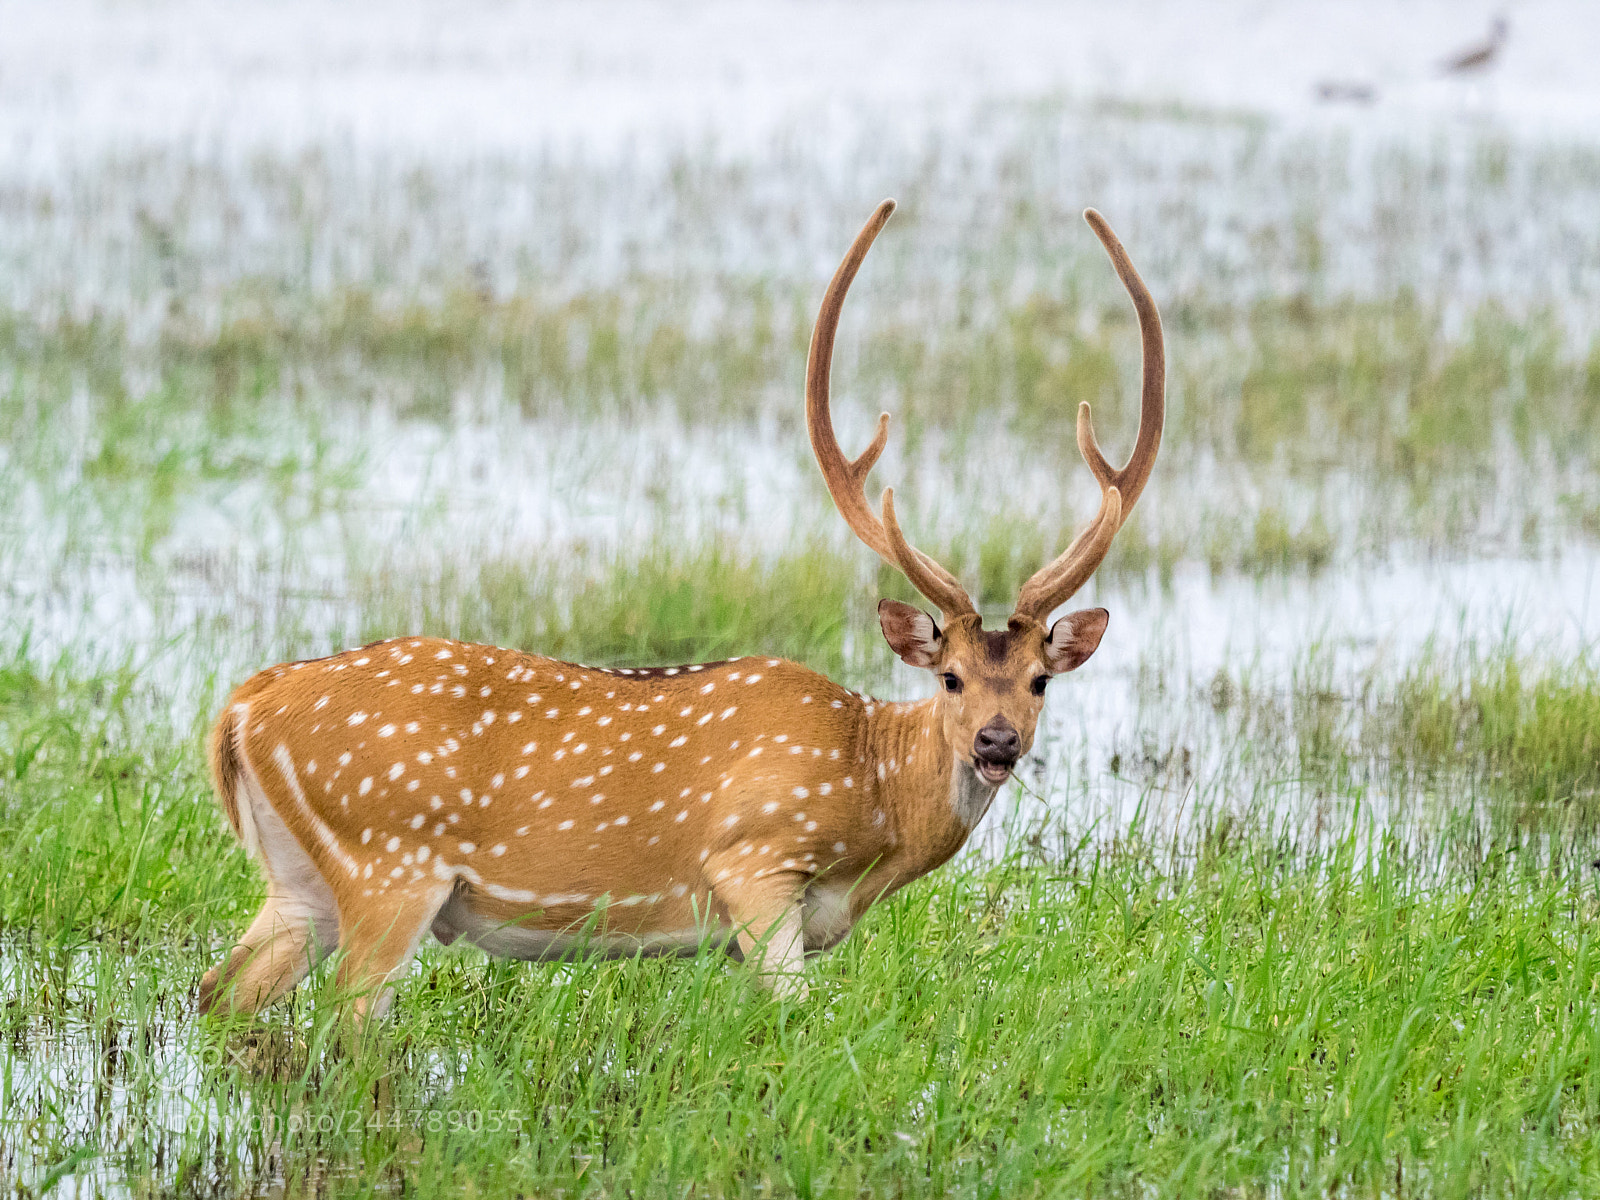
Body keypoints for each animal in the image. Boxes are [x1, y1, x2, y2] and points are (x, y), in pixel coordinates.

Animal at [197, 199, 1163, 1021]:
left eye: (1040, 680)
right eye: (952, 676)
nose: (997, 742)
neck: (872, 804)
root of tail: (243, 708)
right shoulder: (757, 863)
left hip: (301, 882)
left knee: (221, 993)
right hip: (388, 858)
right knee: (346, 1026)